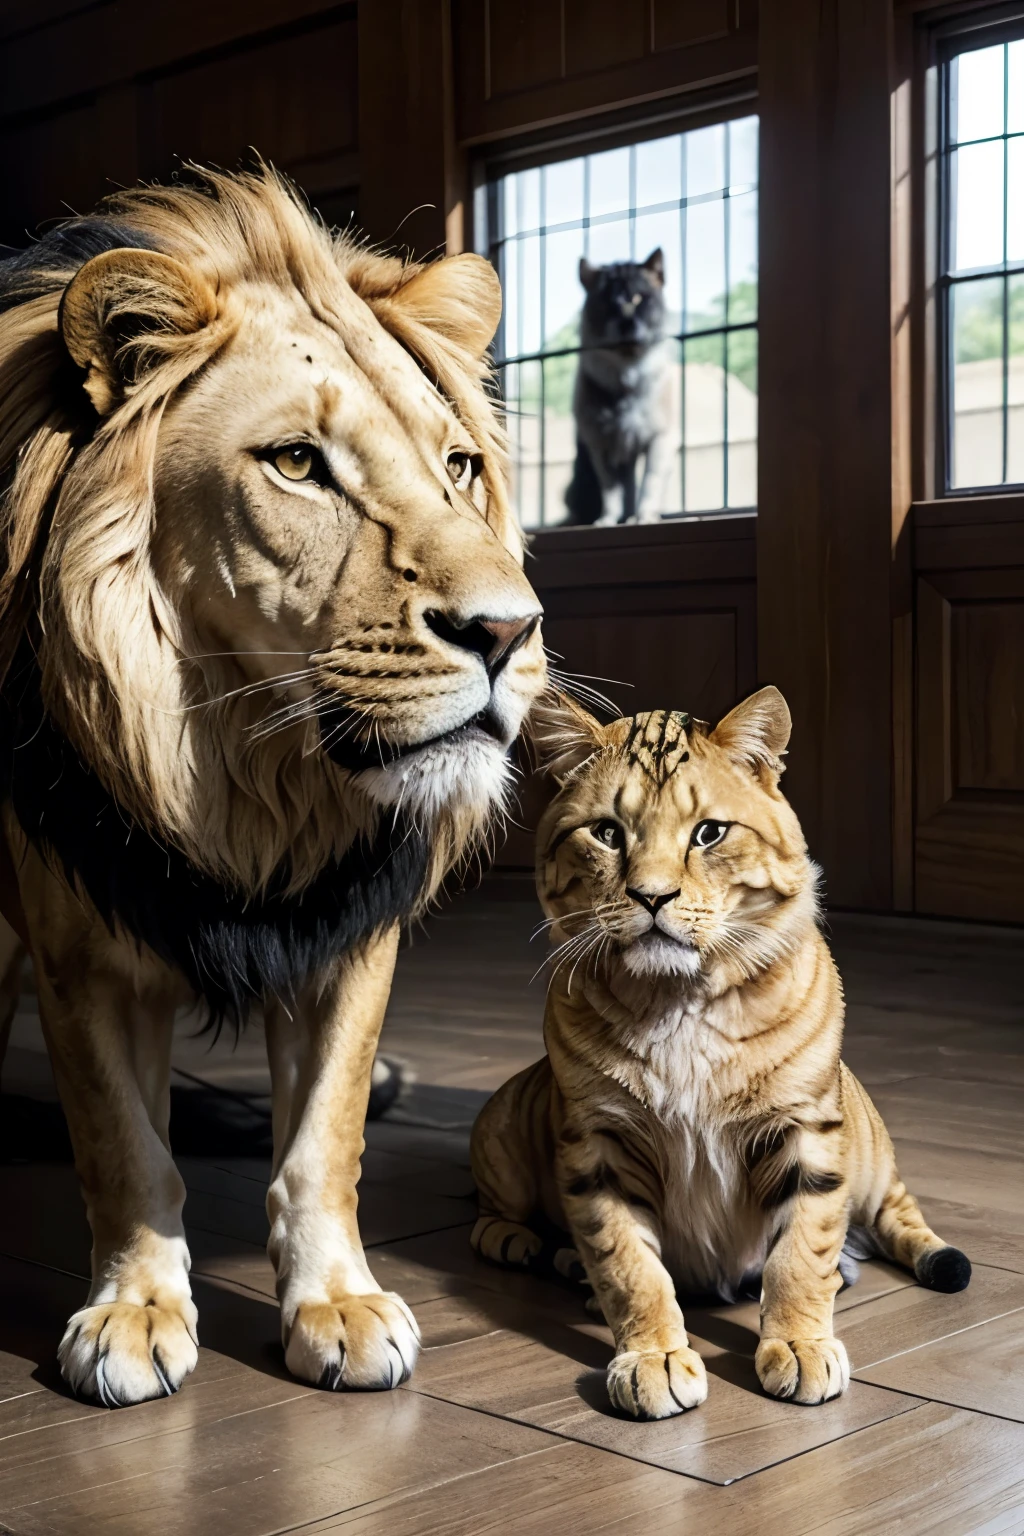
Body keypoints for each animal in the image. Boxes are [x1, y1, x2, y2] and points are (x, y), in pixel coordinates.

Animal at [0, 165, 549, 1406]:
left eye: (458, 465)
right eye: (298, 463)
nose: (508, 632)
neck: (252, 774)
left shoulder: (350, 923)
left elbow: (326, 1137)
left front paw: (336, 1304)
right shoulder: (74, 934)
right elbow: (123, 1142)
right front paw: (134, 1311)